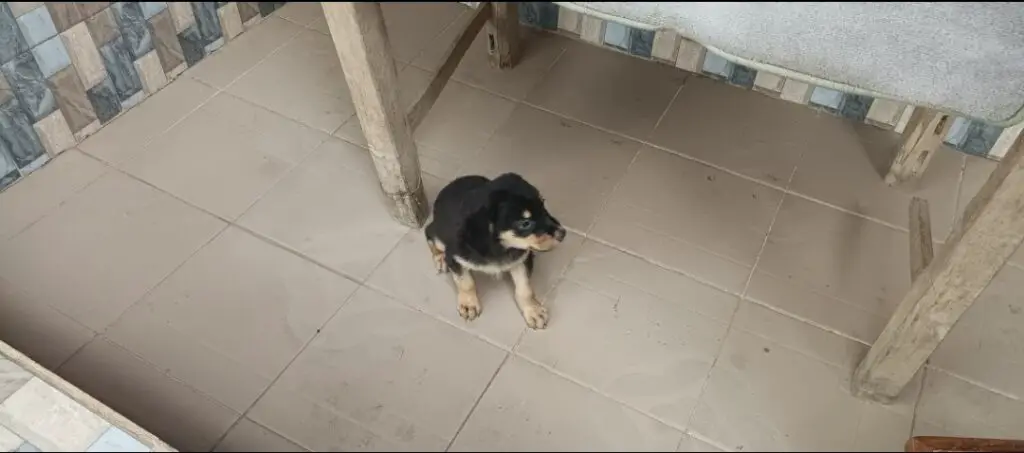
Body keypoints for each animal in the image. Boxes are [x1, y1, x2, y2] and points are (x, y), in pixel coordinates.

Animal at [423, 173, 569, 330]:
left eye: (543, 205)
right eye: (525, 223)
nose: (563, 233)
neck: (499, 246)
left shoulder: (520, 259)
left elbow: (525, 289)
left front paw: (533, 311)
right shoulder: (455, 256)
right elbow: (466, 283)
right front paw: (469, 305)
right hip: (439, 235)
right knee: (429, 233)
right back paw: (440, 258)